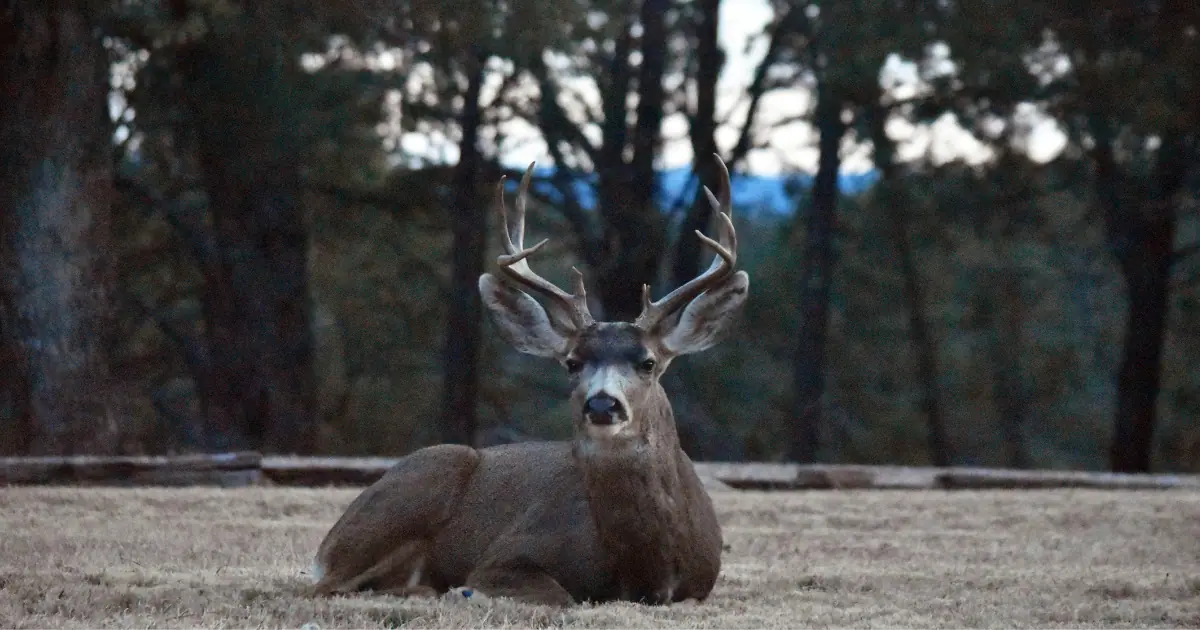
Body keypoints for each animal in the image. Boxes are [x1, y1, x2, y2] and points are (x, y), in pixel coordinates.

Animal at [309, 152, 748, 604]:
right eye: (572, 362)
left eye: (647, 362)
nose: (602, 403)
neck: (645, 570)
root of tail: (327, 543)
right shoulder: (507, 552)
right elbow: (560, 594)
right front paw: (466, 591)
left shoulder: (701, 584)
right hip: (419, 482)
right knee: (326, 586)